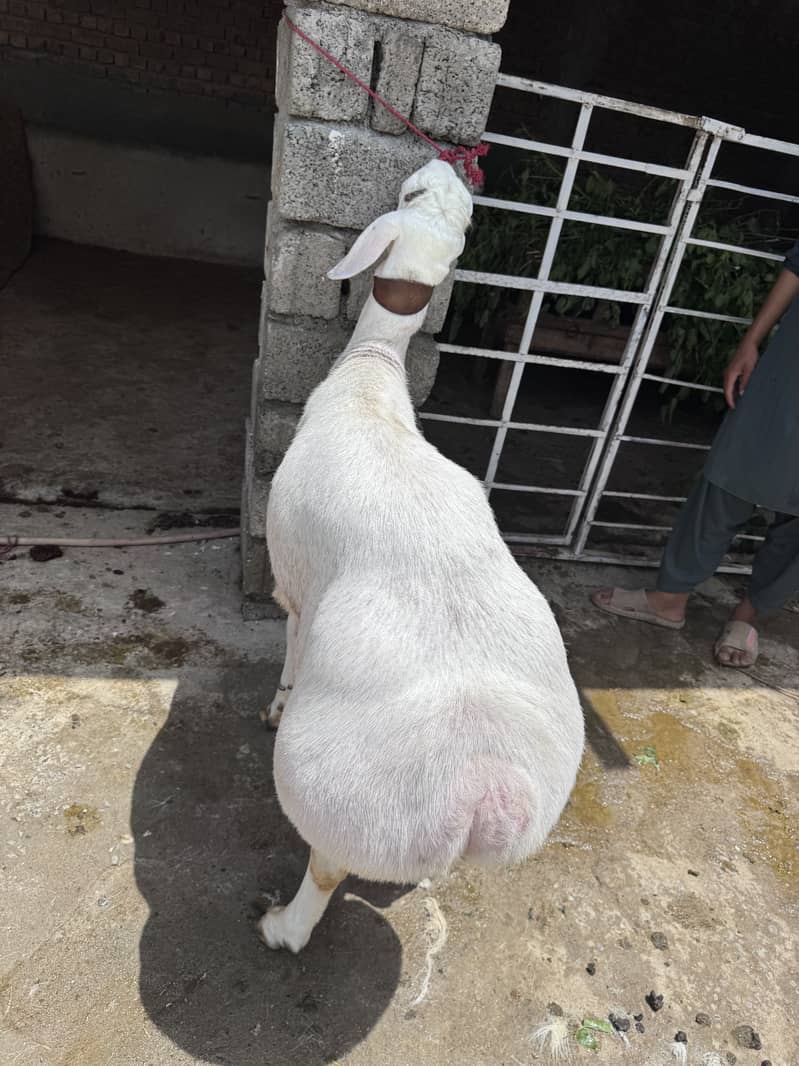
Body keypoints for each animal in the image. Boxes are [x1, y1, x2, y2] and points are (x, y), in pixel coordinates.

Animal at [259, 158, 585, 954]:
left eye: (405, 196)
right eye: (448, 212)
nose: (442, 163)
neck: (371, 376)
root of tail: (482, 789)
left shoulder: (295, 583)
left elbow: (289, 642)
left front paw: (275, 702)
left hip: (342, 807)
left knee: (325, 870)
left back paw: (280, 927)